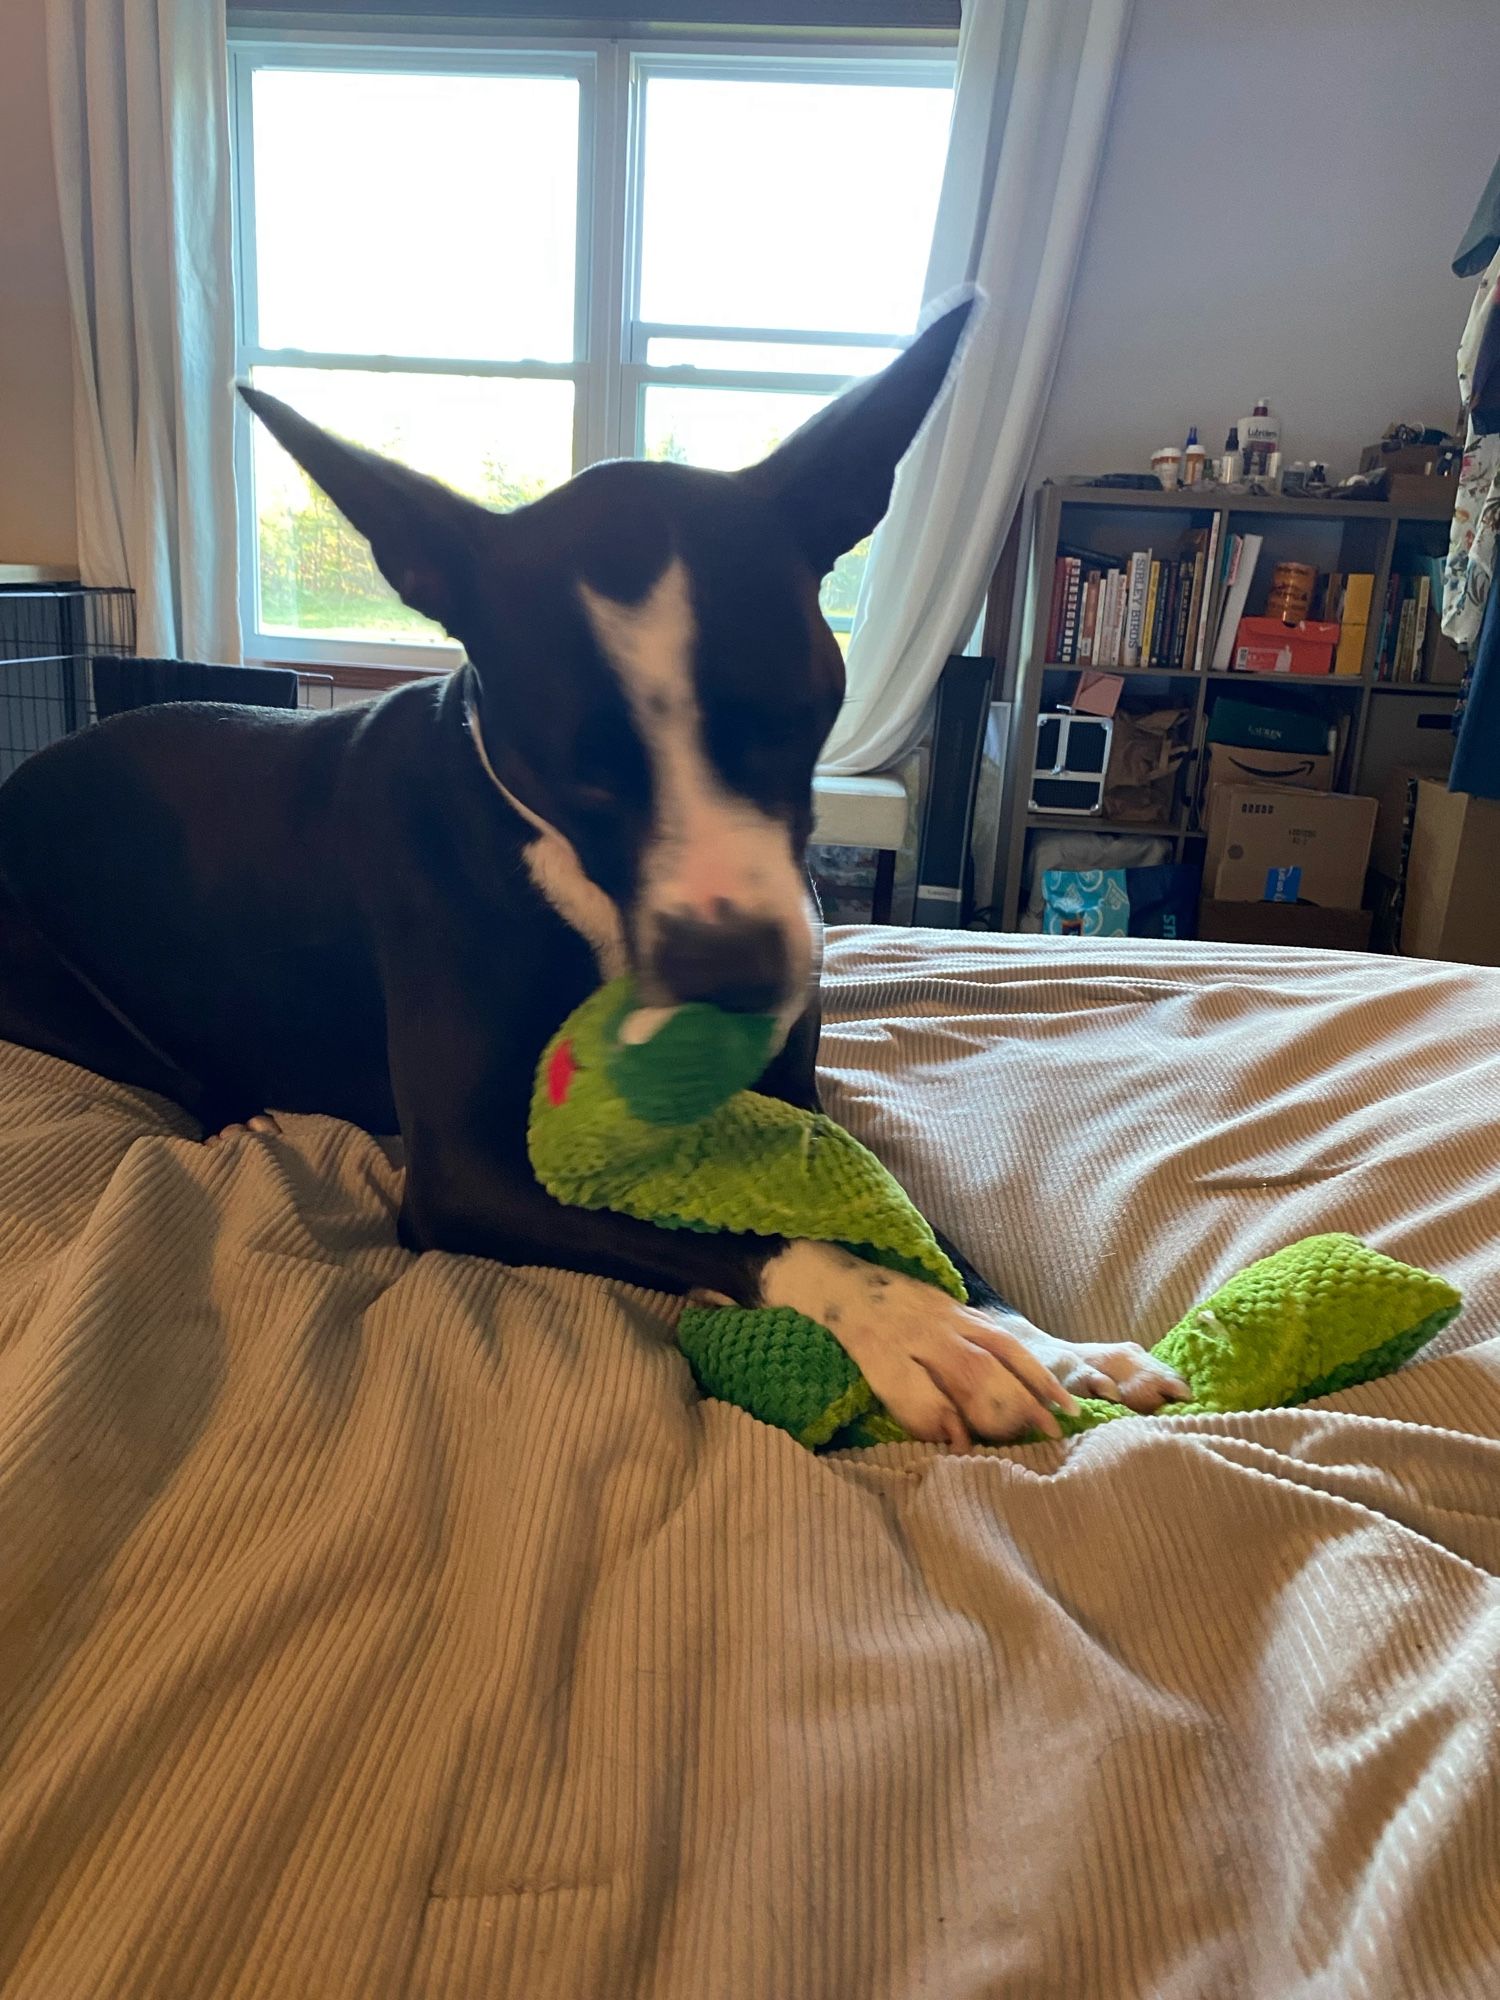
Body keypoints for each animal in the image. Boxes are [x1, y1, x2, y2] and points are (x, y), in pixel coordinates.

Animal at [0, 300, 1184, 1440]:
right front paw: (912, 1326)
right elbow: (749, 1229)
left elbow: (911, 1212)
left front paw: (1032, 1335)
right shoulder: (463, 1172)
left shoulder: (799, 1094)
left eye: (784, 718)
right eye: (580, 770)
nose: (735, 979)